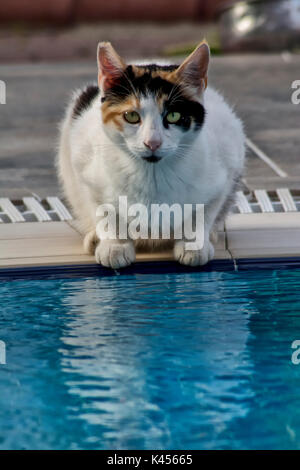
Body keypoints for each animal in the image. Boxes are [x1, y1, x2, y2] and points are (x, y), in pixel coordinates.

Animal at [56, 41, 246, 268]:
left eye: (173, 115)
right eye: (131, 115)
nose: (152, 142)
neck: (152, 175)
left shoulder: (224, 167)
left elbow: (203, 212)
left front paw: (193, 244)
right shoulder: (85, 167)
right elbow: (105, 211)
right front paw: (115, 246)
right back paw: (94, 237)